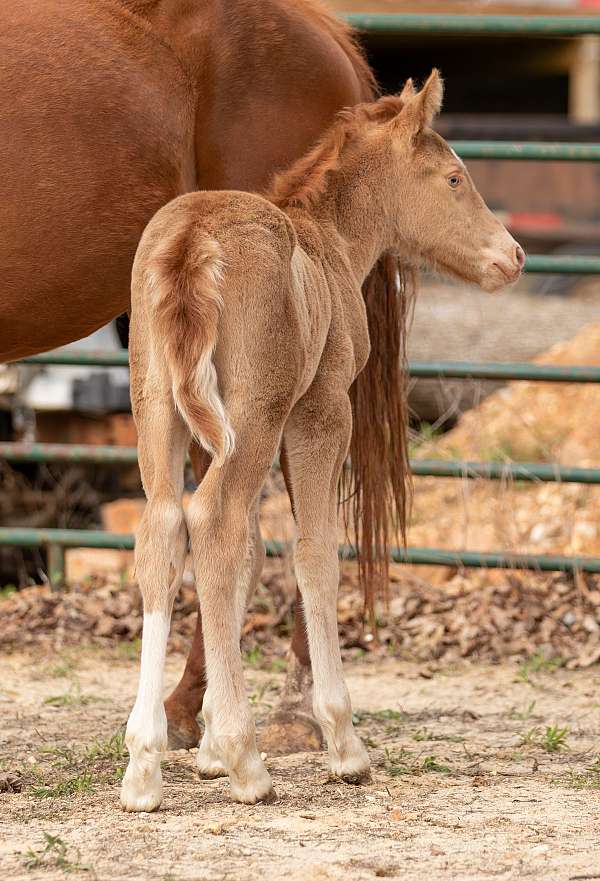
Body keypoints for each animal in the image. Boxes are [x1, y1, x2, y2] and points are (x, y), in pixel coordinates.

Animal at [120, 70, 520, 812]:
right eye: (455, 177)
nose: (512, 256)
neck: (329, 242)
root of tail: (190, 242)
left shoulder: (238, 424)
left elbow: (250, 555)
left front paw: (208, 746)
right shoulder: (320, 411)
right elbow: (313, 552)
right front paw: (341, 744)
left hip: (160, 405)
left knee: (164, 527)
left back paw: (143, 766)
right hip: (252, 413)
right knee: (210, 518)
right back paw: (249, 763)